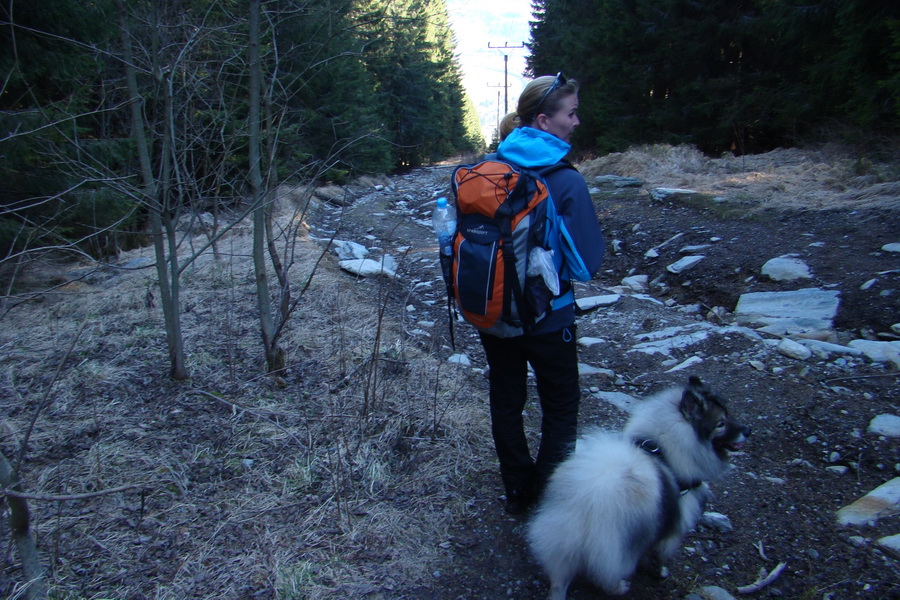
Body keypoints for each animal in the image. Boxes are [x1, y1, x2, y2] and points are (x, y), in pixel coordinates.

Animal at [524, 376, 748, 596]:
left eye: (728, 415)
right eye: (721, 423)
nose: (748, 429)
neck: (665, 451)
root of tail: (589, 498)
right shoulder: (670, 529)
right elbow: (657, 555)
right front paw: (659, 572)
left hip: (561, 542)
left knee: (559, 582)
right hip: (616, 550)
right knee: (608, 577)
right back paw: (620, 588)